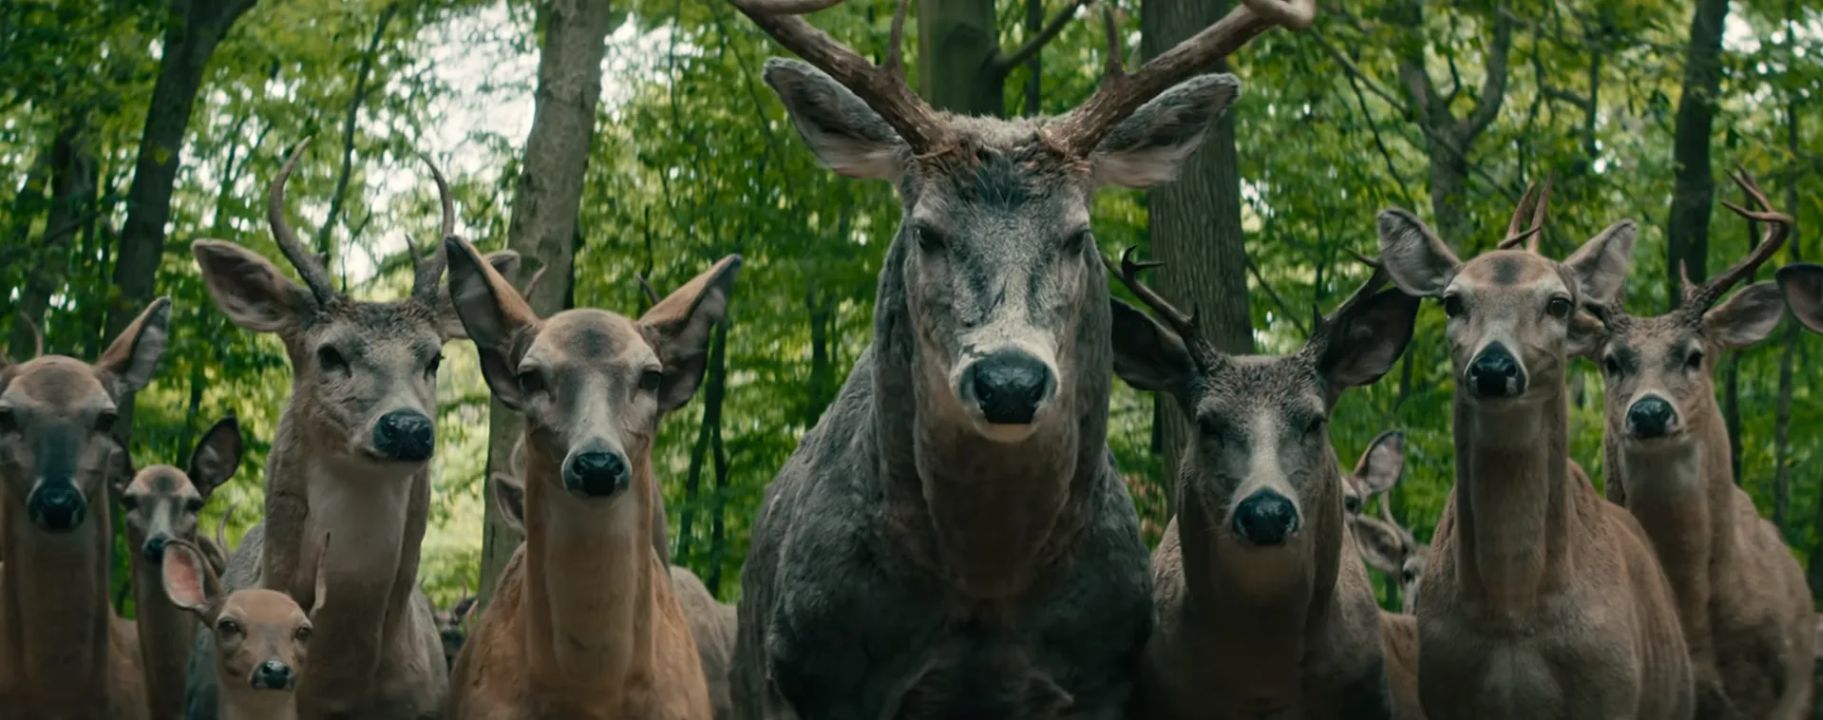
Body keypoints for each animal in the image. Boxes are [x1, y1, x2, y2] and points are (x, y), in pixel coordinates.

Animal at [727, 0, 1317, 716]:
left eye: (1077, 235)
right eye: (925, 232)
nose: (1009, 382)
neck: (986, 582)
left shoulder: (1103, 675)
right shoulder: (808, 669)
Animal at [1376, 184, 1695, 719]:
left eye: (1559, 303)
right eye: (1451, 302)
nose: (1493, 367)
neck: (1514, 609)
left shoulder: (1612, 691)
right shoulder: (1440, 689)